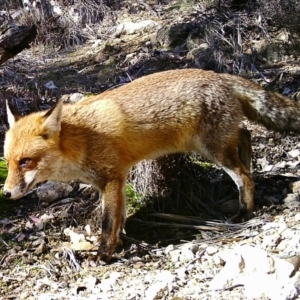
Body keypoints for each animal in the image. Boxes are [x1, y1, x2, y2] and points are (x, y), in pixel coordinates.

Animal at [2, 68, 300, 260]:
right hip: (211, 143)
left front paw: (103, 255)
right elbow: (119, 219)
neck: (81, 139)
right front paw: (120, 243)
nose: (5, 193)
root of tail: (218, 74)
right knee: (245, 135)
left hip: (212, 149)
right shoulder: (117, 179)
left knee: (244, 176)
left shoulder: (111, 179)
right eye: (9, 162)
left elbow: (107, 223)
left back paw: (244, 211)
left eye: (25, 162)